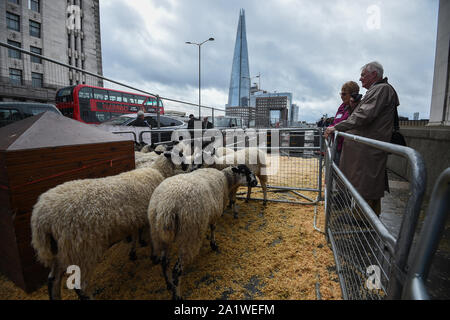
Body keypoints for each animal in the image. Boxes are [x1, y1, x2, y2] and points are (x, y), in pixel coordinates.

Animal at [29, 151, 188, 300]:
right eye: (179, 154)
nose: (188, 166)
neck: (158, 170)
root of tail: (41, 217)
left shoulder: (133, 218)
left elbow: (135, 234)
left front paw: (133, 252)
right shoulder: (148, 216)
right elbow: (150, 237)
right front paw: (153, 256)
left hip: (60, 250)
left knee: (52, 280)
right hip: (82, 249)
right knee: (81, 286)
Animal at [148, 165, 256, 300]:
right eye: (245, 171)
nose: (255, 182)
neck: (226, 180)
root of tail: (165, 208)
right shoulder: (215, 213)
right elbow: (213, 228)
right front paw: (213, 245)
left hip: (159, 236)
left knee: (164, 263)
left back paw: (168, 284)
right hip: (189, 235)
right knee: (177, 271)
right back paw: (177, 294)